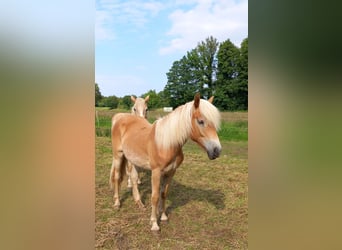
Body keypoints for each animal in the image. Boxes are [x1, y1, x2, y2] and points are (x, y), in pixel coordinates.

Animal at [109, 94, 222, 230]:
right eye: (201, 121)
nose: (216, 150)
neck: (166, 144)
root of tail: (120, 118)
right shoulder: (156, 172)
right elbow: (155, 196)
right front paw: (154, 224)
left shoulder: (171, 172)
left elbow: (163, 193)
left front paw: (163, 217)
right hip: (118, 155)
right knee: (117, 177)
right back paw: (117, 203)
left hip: (133, 160)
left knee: (134, 179)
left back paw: (139, 203)